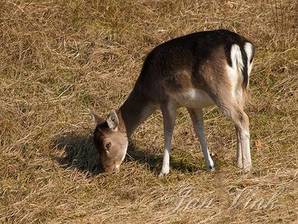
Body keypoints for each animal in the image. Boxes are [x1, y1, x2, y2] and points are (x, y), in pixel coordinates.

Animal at [92, 29, 254, 177]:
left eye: (107, 144)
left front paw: (163, 172)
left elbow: (168, 131)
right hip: (239, 90)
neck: (148, 89)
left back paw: (247, 168)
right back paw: (239, 163)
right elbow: (200, 130)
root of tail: (239, 44)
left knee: (242, 118)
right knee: (237, 122)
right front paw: (210, 166)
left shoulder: (166, 100)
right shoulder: (192, 104)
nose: (108, 170)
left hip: (219, 89)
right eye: (95, 144)